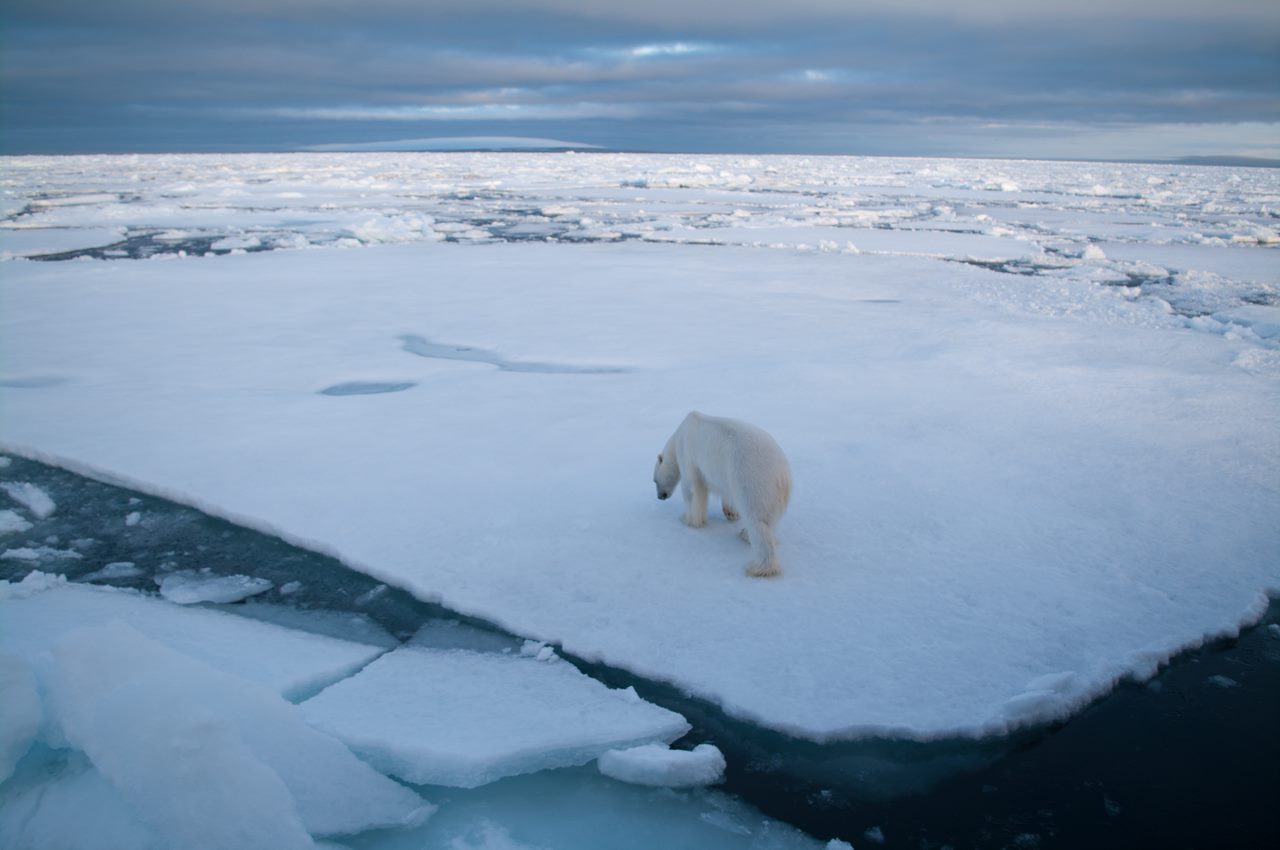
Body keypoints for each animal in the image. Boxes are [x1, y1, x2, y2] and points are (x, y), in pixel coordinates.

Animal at [660, 412, 788, 578]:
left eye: (654, 481)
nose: (660, 496)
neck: (680, 432)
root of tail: (782, 473)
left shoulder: (687, 452)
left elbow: (691, 488)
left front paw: (687, 519)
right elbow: (725, 492)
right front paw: (731, 513)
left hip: (751, 479)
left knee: (757, 521)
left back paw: (758, 566)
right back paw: (745, 533)